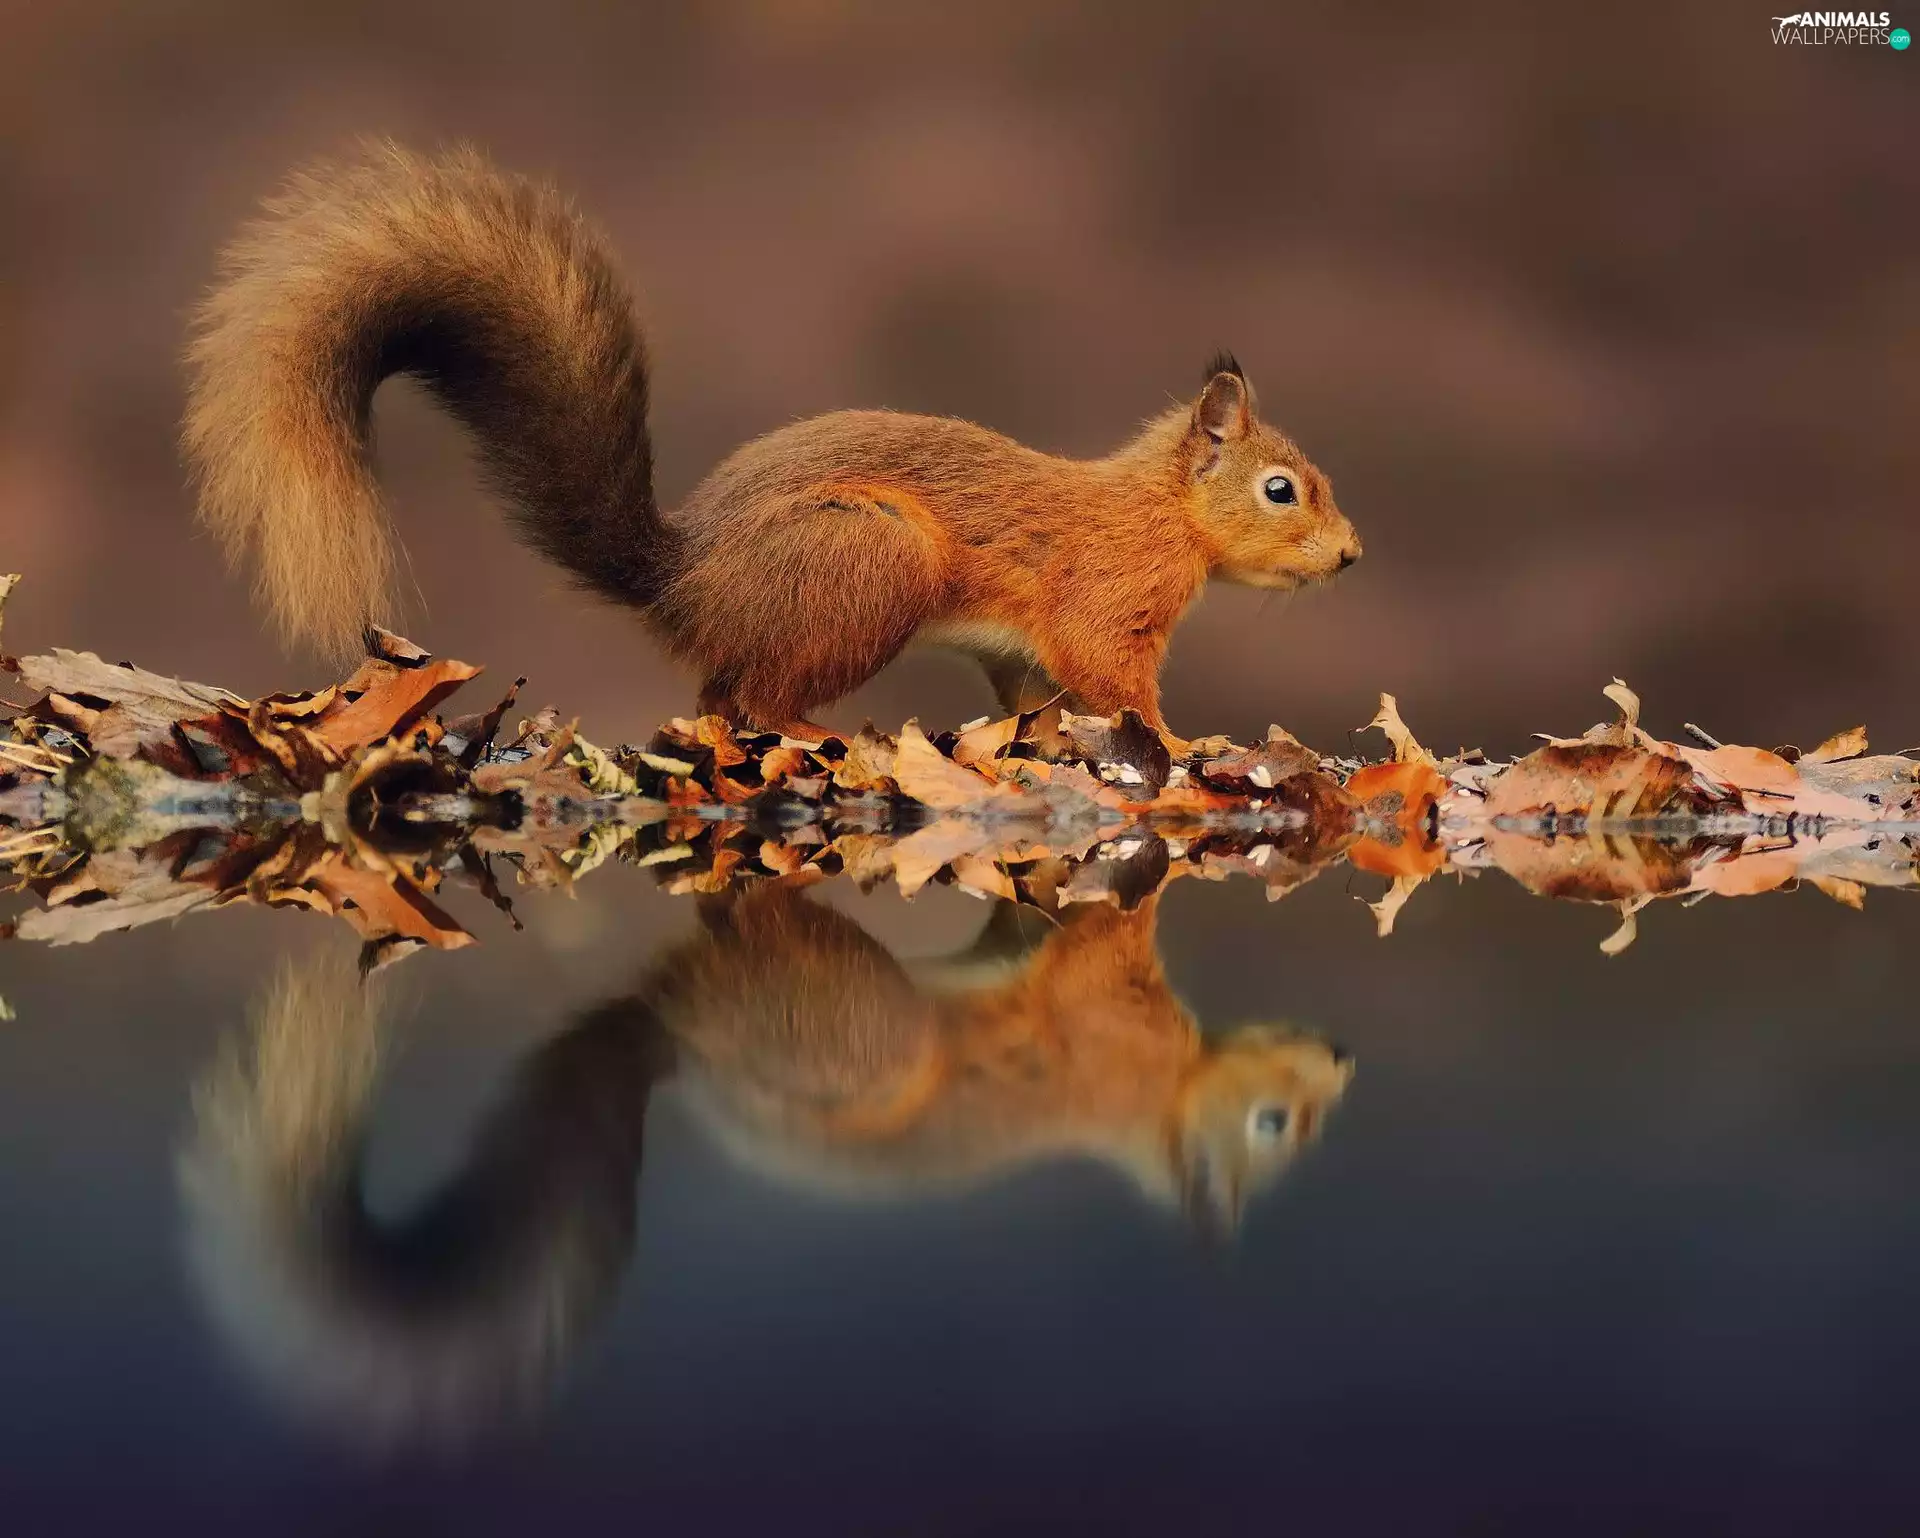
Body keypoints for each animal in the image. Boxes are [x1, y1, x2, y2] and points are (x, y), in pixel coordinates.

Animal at [183, 142, 1362, 742]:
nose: (1352, 556)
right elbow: (1116, 680)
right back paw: (815, 741)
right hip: (870, 562)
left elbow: (1038, 697)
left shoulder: (1023, 653)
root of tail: (687, 579)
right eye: (1281, 489)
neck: (1160, 510)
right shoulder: (1107, 599)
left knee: (720, 698)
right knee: (756, 700)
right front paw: (1185, 747)